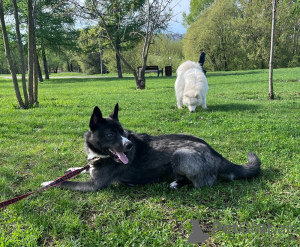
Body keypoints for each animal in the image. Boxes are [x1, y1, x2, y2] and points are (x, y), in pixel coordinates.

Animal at [41, 103, 260, 191]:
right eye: (111, 134)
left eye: (122, 131)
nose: (129, 145)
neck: (100, 155)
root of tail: (217, 154)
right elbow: (79, 169)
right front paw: (72, 169)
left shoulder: (93, 185)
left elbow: (65, 183)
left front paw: (48, 183)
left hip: (181, 155)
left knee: (203, 183)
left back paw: (177, 184)